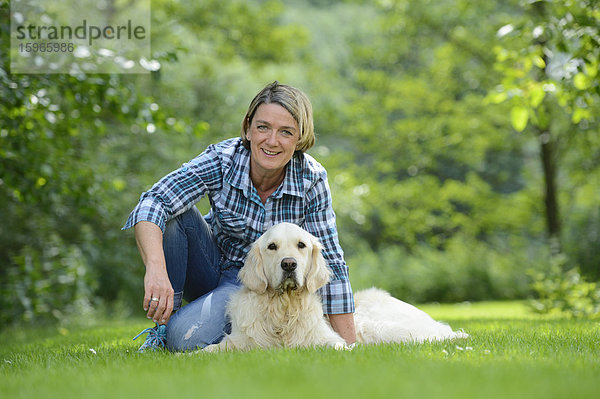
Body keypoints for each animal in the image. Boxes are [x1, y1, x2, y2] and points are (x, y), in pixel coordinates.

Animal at [205, 223, 468, 352]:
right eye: (272, 246)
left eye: (301, 245)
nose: (288, 264)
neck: (283, 309)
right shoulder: (239, 342)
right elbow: (208, 352)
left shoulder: (328, 340)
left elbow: (337, 347)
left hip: (379, 328)